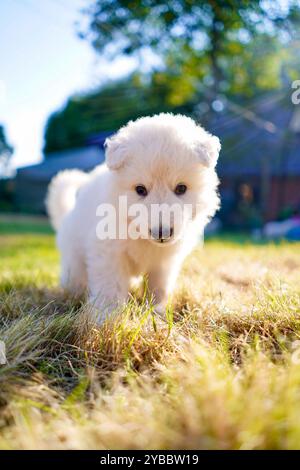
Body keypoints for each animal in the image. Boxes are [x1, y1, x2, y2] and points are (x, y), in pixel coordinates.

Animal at [46, 114, 220, 324]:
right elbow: (110, 287)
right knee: (75, 279)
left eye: (181, 188)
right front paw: (106, 318)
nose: (161, 232)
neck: (138, 233)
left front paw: (158, 313)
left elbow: (159, 288)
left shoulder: (165, 262)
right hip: (74, 260)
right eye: (140, 189)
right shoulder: (108, 252)